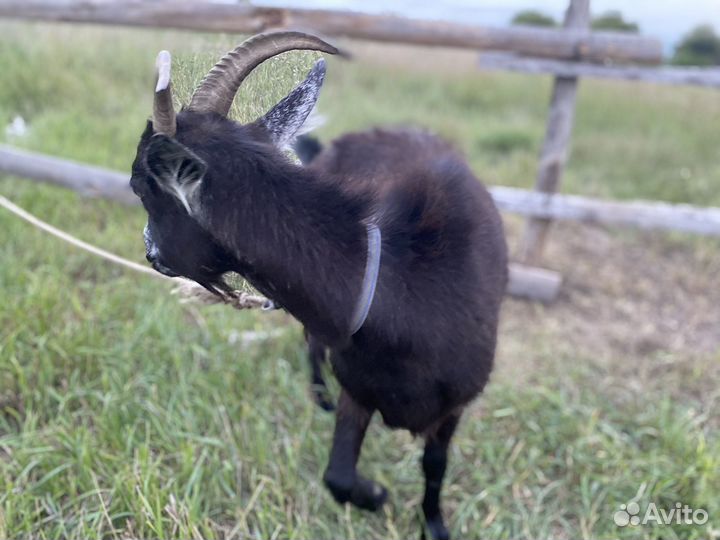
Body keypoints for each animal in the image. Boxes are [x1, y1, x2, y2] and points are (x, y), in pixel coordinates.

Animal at [130, 32, 507, 540]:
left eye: (141, 189)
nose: (150, 253)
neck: (397, 282)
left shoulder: (453, 407)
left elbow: (434, 467)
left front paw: (433, 524)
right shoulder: (358, 389)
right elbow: (338, 476)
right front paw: (377, 496)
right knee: (311, 344)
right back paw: (319, 396)